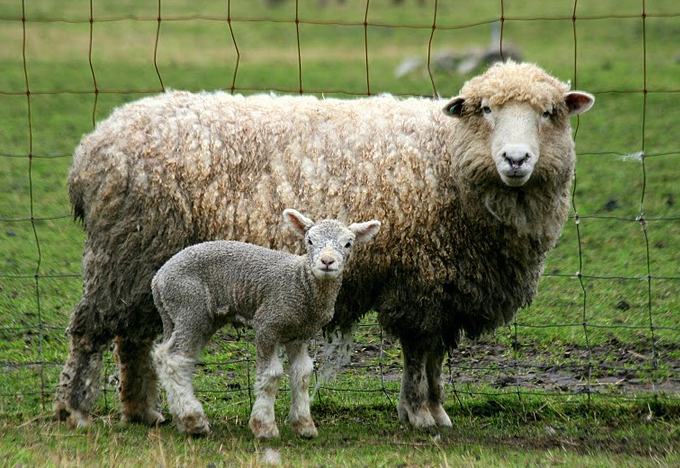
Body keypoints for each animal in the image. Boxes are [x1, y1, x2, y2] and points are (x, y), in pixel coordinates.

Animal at [151, 208, 380, 438]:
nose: (326, 262)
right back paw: (193, 420)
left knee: (175, 358)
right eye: (310, 240)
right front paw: (264, 427)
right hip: (190, 306)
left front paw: (304, 425)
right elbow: (271, 375)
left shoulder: (300, 334)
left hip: (184, 316)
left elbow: (302, 374)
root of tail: (159, 277)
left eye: (348, 243)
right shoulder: (267, 324)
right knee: (174, 359)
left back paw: (183, 416)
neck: (301, 282)